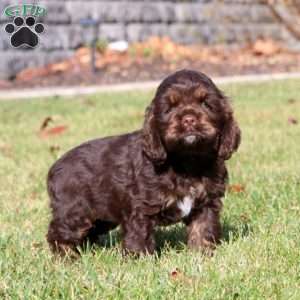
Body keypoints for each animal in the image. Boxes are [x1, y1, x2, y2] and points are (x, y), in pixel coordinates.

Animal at [45, 69, 240, 255]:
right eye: (169, 108)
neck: (186, 160)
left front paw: (202, 254)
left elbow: (203, 230)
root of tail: (54, 167)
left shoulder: (206, 203)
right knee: (59, 233)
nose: (189, 119)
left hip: (101, 216)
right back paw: (67, 257)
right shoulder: (140, 207)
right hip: (75, 211)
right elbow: (140, 235)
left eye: (206, 103)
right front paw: (140, 259)